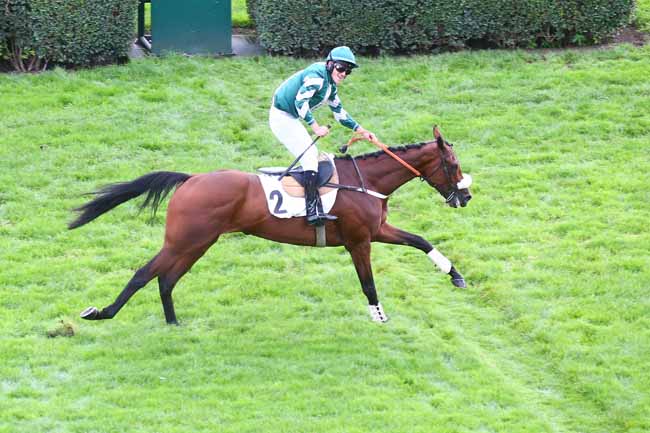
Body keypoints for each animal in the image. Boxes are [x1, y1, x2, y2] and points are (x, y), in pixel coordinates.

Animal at [69, 127, 472, 324]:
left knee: (166, 279)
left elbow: (420, 240)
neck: (365, 181)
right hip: (185, 240)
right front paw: (379, 315)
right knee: (144, 273)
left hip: (198, 242)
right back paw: (102, 313)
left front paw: (455, 275)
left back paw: (173, 323)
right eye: (452, 165)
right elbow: (368, 282)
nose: (465, 197)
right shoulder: (359, 240)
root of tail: (191, 178)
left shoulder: (377, 231)